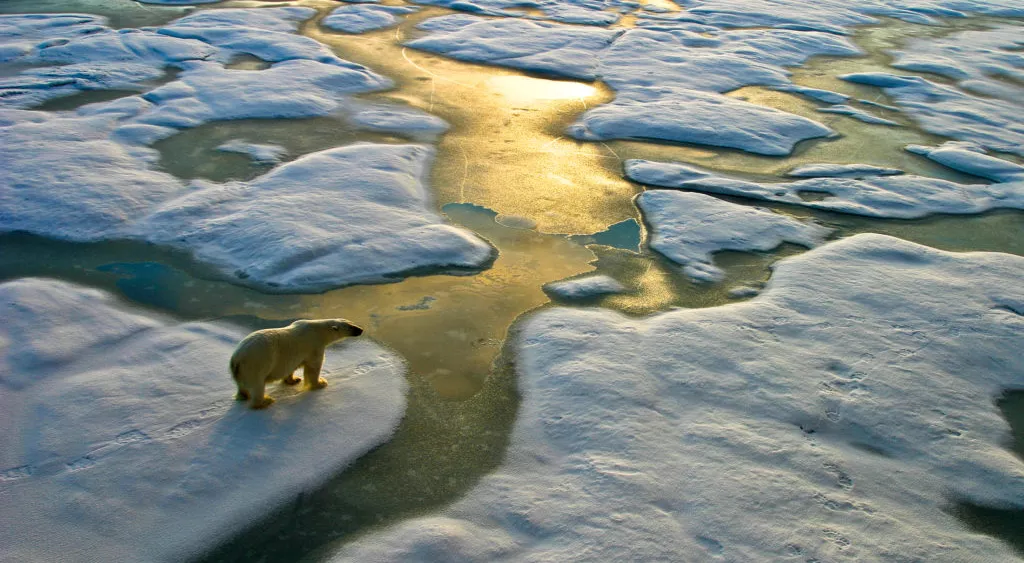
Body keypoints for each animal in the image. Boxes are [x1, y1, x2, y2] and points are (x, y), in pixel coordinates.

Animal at [231, 321, 364, 411]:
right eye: (351, 327)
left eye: (352, 322)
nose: (361, 329)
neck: (318, 331)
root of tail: (236, 359)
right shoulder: (314, 346)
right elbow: (313, 367)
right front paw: (320, 383)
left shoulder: (294, 356)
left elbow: (292, 367)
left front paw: (294, 380)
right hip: (256, 364)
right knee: (257, 386)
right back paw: (265, 401)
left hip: (241, 371)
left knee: (242, 386)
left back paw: (244, 396)